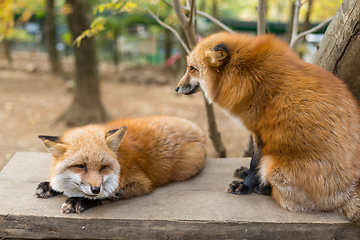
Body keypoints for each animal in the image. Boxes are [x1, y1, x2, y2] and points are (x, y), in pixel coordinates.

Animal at [37, 116, 207, 214]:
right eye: (80, 166)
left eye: (104, 167)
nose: (95, 189)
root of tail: (196, 128)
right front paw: (49, 186)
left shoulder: (142, 183)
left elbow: (108, 194)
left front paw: (80, 200)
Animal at [176, 31, 360, 221]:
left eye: (192, 68)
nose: (176, 88)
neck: (242, 72)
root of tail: (350, 192)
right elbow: (253, 162)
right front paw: (245, 175)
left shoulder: (261, 132)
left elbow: (255, 164)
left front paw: (245, 186)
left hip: (274, 165)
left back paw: (263, 188)